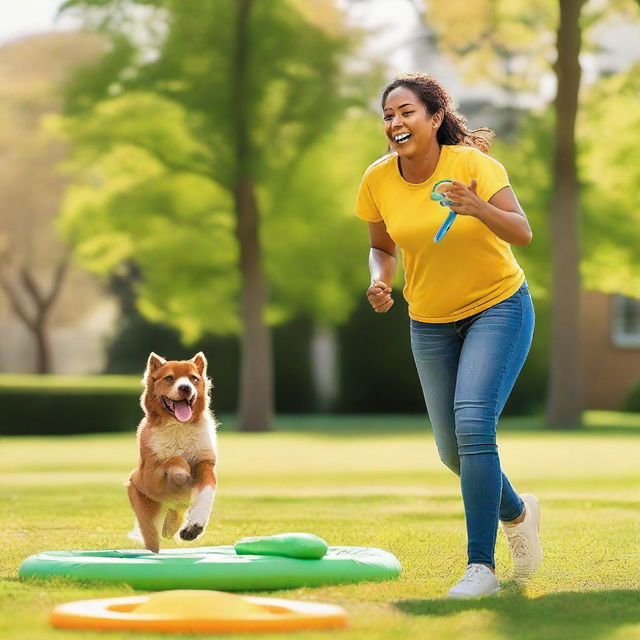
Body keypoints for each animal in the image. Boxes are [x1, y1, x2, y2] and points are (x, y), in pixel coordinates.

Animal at [126, 352, 219, 552]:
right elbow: (173, 458)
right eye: (169, 378)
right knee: (152, 537)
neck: (179, 427)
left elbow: (206, 492)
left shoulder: (205, 462)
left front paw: (194, 526)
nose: (185, 387)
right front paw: (181, 472)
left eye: (194, 378)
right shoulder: (150, 477)